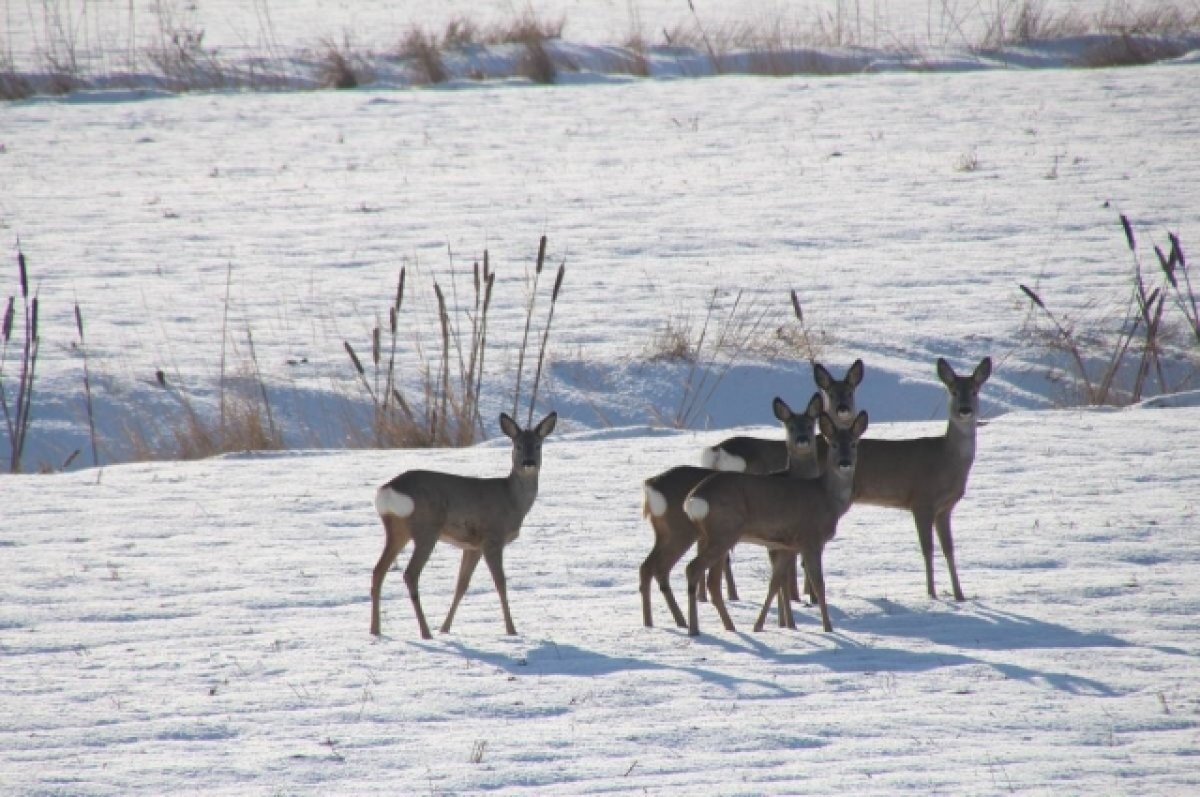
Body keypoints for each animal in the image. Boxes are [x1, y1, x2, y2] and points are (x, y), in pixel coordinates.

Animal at [369, 412, 556, 638]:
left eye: (538, 445)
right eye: (518, 445)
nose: (529, 462)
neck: (511, 499)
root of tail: (388, 490)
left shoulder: (472, 546)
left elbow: (461, 585)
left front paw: (445, 628)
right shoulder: (492, 538)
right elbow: (500, 582)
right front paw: (512, 630)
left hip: (397, 529)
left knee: (378, 570)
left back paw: (375, 629)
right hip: (426, 528)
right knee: (410, 574)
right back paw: (425, 632)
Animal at [638, 391, 825, 628]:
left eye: (810, 424)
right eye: (790, 427)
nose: (803, 440)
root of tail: (651, 484)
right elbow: (783, 576)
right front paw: (788, 623)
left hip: (663, 530)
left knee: (647, 567)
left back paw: (657, 622)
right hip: (681, 530)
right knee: (663, 568)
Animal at [681, 410, 868, 633]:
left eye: (854, 444)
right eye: (833, 445)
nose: (844, 462)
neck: (827, 498)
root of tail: (694, 497)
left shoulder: (787, 545)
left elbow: (775, 582)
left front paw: (759, 626)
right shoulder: (811, 539)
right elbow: (819, 584)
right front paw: (828, 628)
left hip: (715, 535)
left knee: (710, 579)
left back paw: (727, 626)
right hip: (723, 532)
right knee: (694, 569)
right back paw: (695, 629)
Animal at [854, 357, 993, 600]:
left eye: (975, 391)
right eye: (953, 391)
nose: (965, 410)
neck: (946, 461)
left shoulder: (944, 508)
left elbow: (949, 549)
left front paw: (959, 594)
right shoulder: (921, 501)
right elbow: (927, 549)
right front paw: (931, 593)